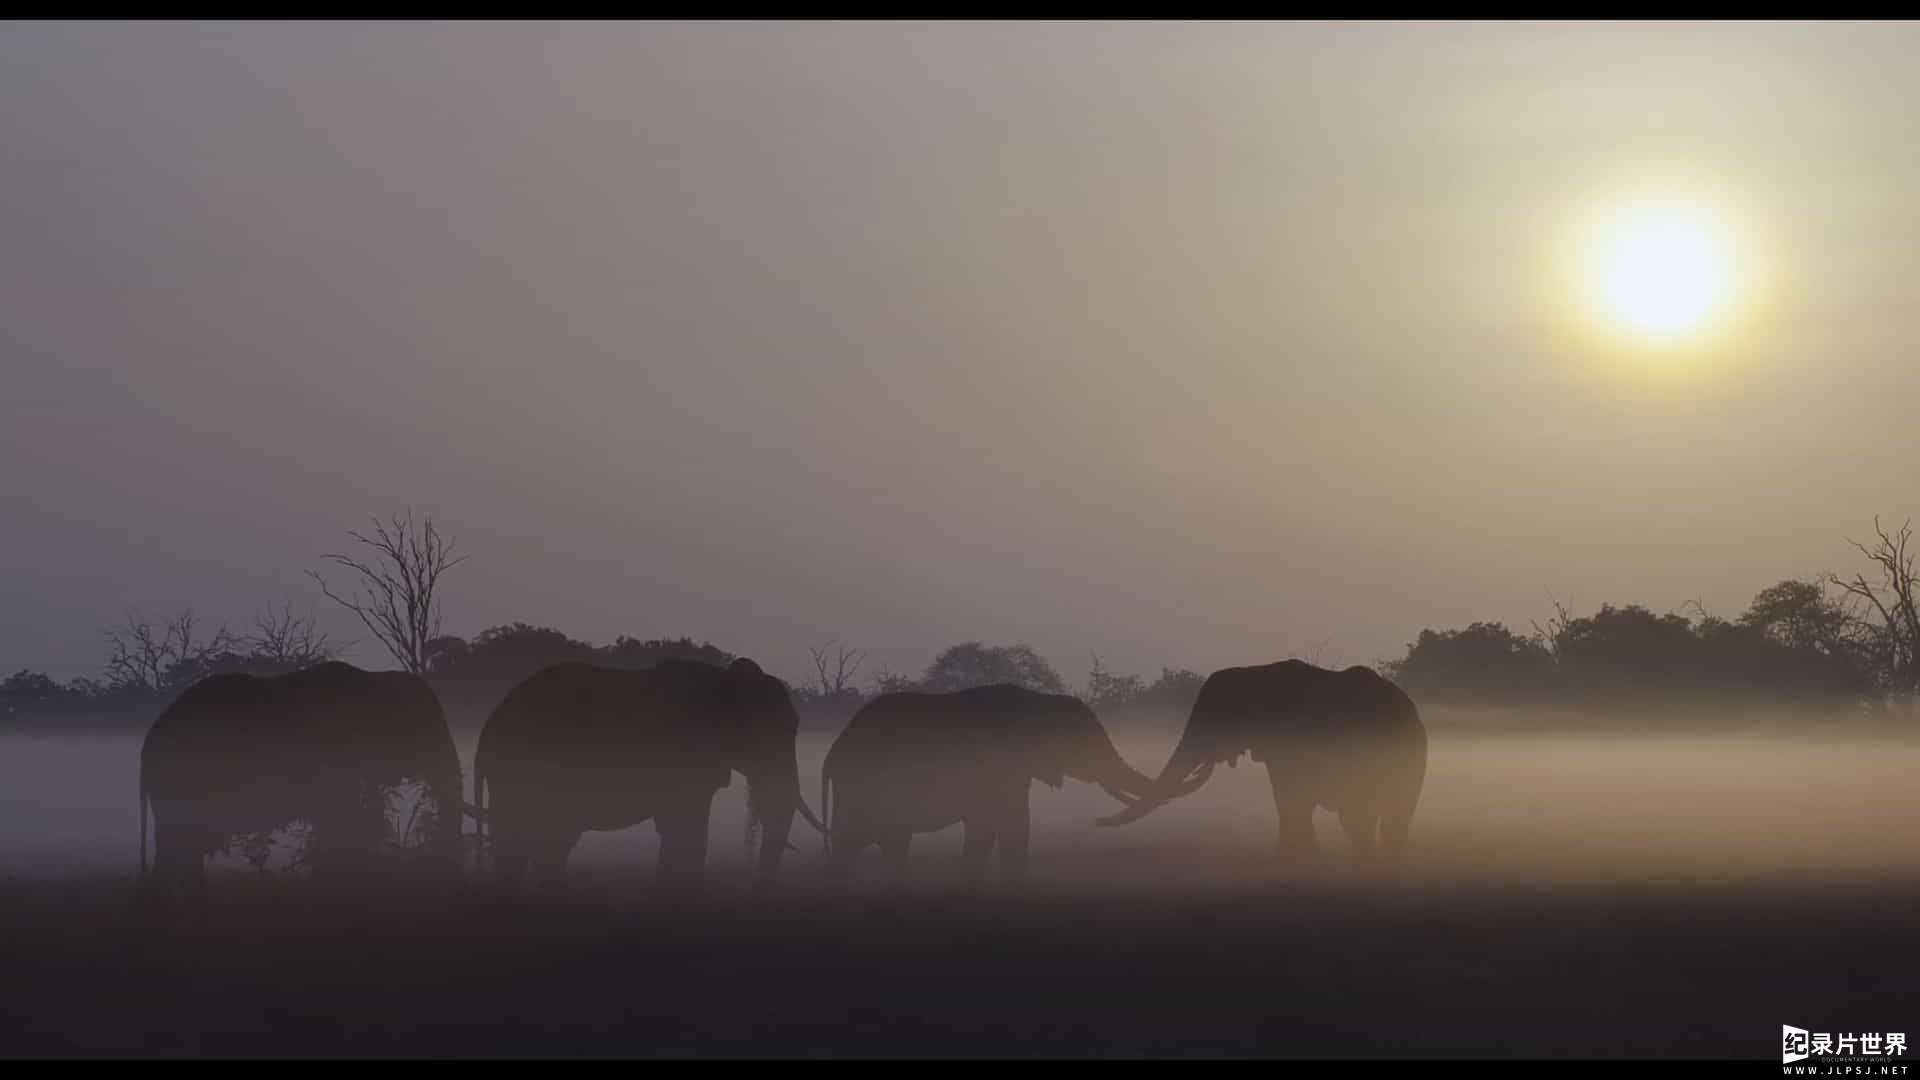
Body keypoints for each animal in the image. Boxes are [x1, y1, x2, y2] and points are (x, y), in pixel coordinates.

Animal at [821, 680, 1152, 883]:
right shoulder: (997, 767)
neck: (1038, 700)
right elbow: (1006, 827)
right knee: (862, 844)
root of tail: (833, 752)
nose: (1096, 821)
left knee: (881, 845)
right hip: (863, 785)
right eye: (1085, 742)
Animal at [1098, 657, 1428, 857]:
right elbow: (1287, 800)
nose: (1095, 822)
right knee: (1386, 819)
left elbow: (1291, 799)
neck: (1256, 671)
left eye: (1216, 716)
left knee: (1367, 818)